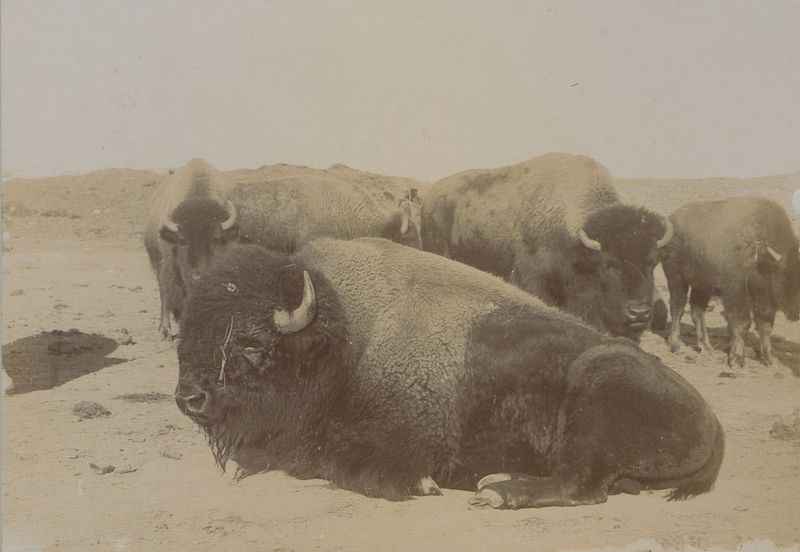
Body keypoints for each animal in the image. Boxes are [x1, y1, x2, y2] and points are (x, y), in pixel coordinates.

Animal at [175, 237, 724, 508]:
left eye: (251, 344)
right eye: (186, 334)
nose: (188, 399)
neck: (346, 340)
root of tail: (712, 419)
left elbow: (346, 465)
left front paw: (421, 486)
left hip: (595, 390)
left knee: (584, 486)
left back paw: (497, 492)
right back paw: (497, 480)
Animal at [660, 196, 796, 368]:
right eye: (785, 273)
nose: (795, 312)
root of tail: (671, 219)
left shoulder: (765, 302)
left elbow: (765, 327)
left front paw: (769, 359)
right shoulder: (736, 295)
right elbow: (741, 324)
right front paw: (736, 360)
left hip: (702, 286)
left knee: (697, 312)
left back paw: (706, 346)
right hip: (676, 278)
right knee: (677, 307)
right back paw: (676, 345)